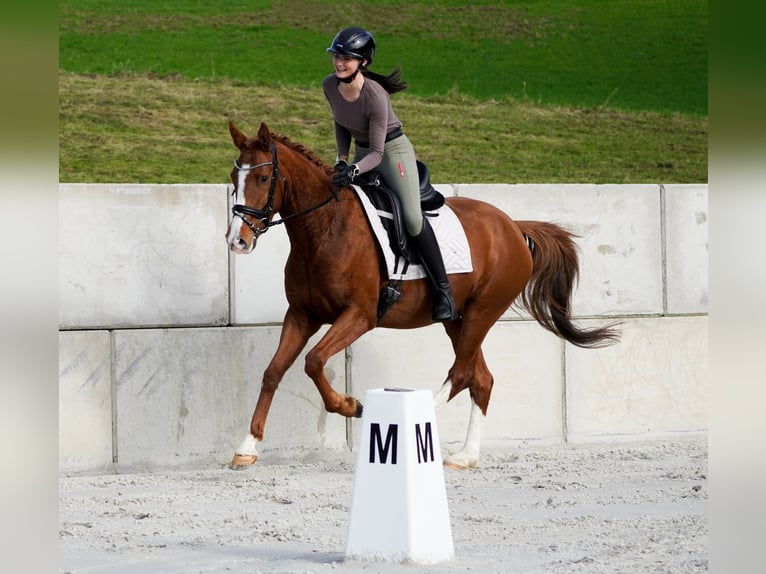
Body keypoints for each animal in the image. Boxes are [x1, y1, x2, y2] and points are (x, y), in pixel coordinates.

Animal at [225, 121, 620, 472]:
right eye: (233, 179)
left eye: (263, 179)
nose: (237, 241)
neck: (325, 228)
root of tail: (513, 227)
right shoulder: (301, 315)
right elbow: (274, 371)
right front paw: (247, 447)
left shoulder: (360, 315)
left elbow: (314, 361)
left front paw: (352, 406)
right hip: (457, 320)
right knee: (480, 378)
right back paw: (466, 456)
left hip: (482, 312)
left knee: (461, 373)